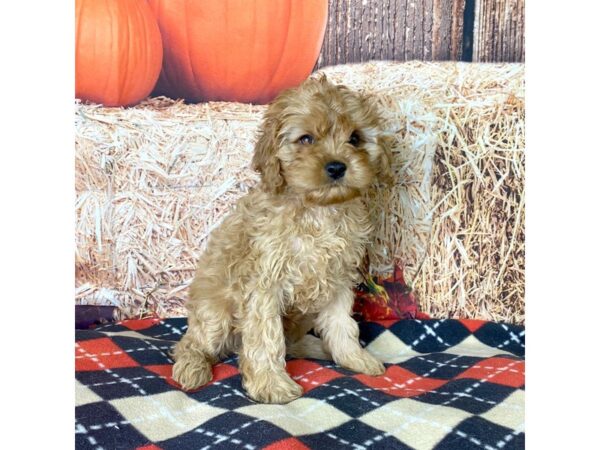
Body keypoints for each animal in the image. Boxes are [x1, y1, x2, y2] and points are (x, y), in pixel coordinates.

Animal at [172, 76, 394, 404]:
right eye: (306, 139)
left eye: (355, 138)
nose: (337, 167)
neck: (317, 210)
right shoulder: (263, 284)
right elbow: (266, 337)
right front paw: (272, 385)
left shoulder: (339, 279)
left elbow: (342, 325)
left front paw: (354, 358)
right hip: (215, 315)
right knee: (192, 344)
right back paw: (192, 367)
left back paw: (318, 348)